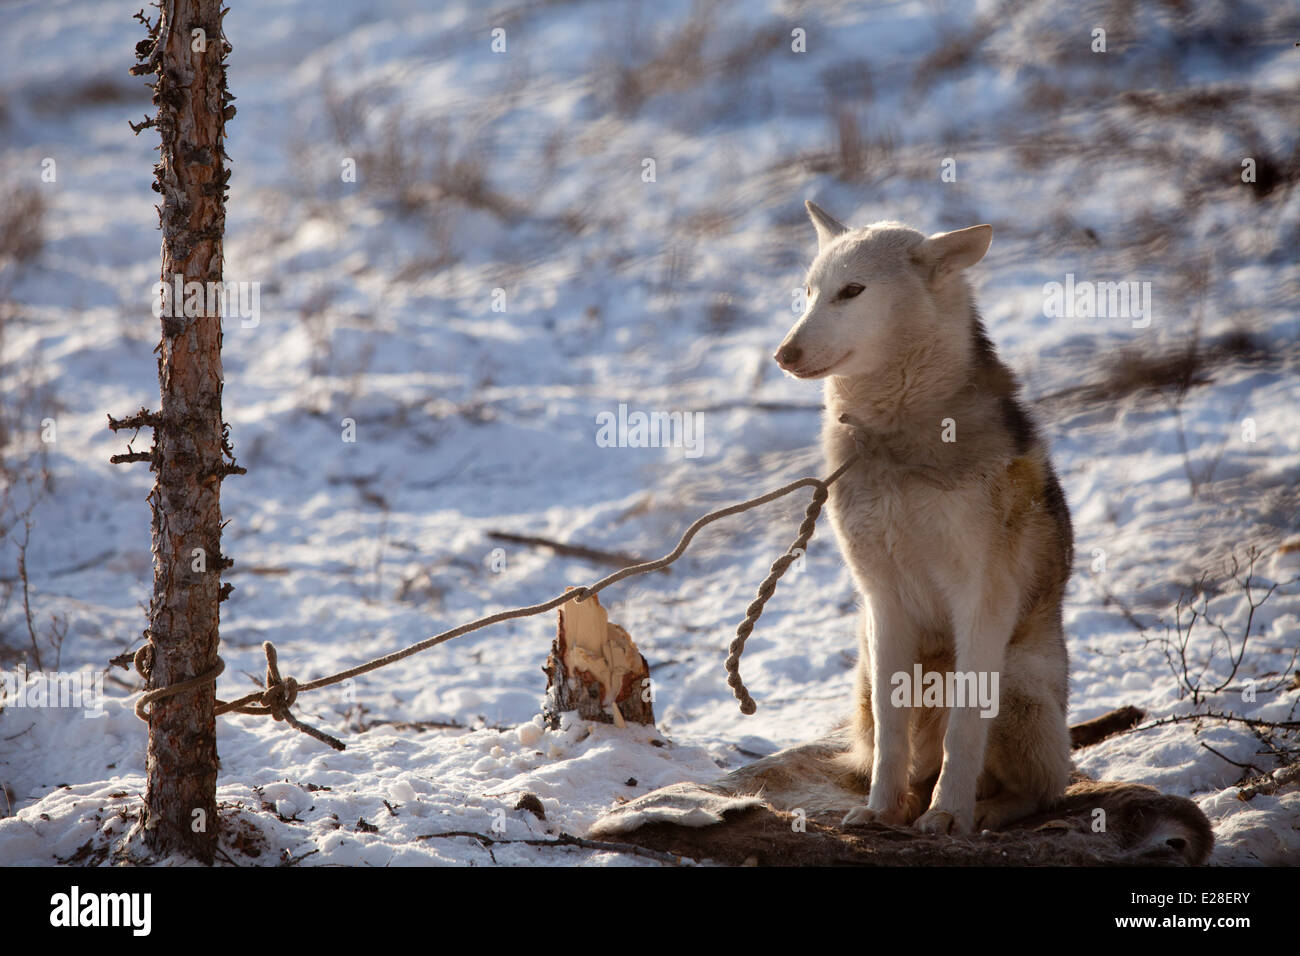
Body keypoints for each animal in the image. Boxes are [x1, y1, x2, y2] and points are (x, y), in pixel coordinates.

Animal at [773, 201, 1075, 835]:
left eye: (852, 291)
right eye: (809, 293)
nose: (783, 355)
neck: (894, 436)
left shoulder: (980, 597)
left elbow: (964, 735)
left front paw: (949, 814)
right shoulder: (882, 601)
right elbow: (893, 740)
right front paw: (881, 810)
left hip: (1016, 684)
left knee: (1044, 788)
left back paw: (983, 808)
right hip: (866, 681)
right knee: (908, 752)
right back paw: (911, 799)